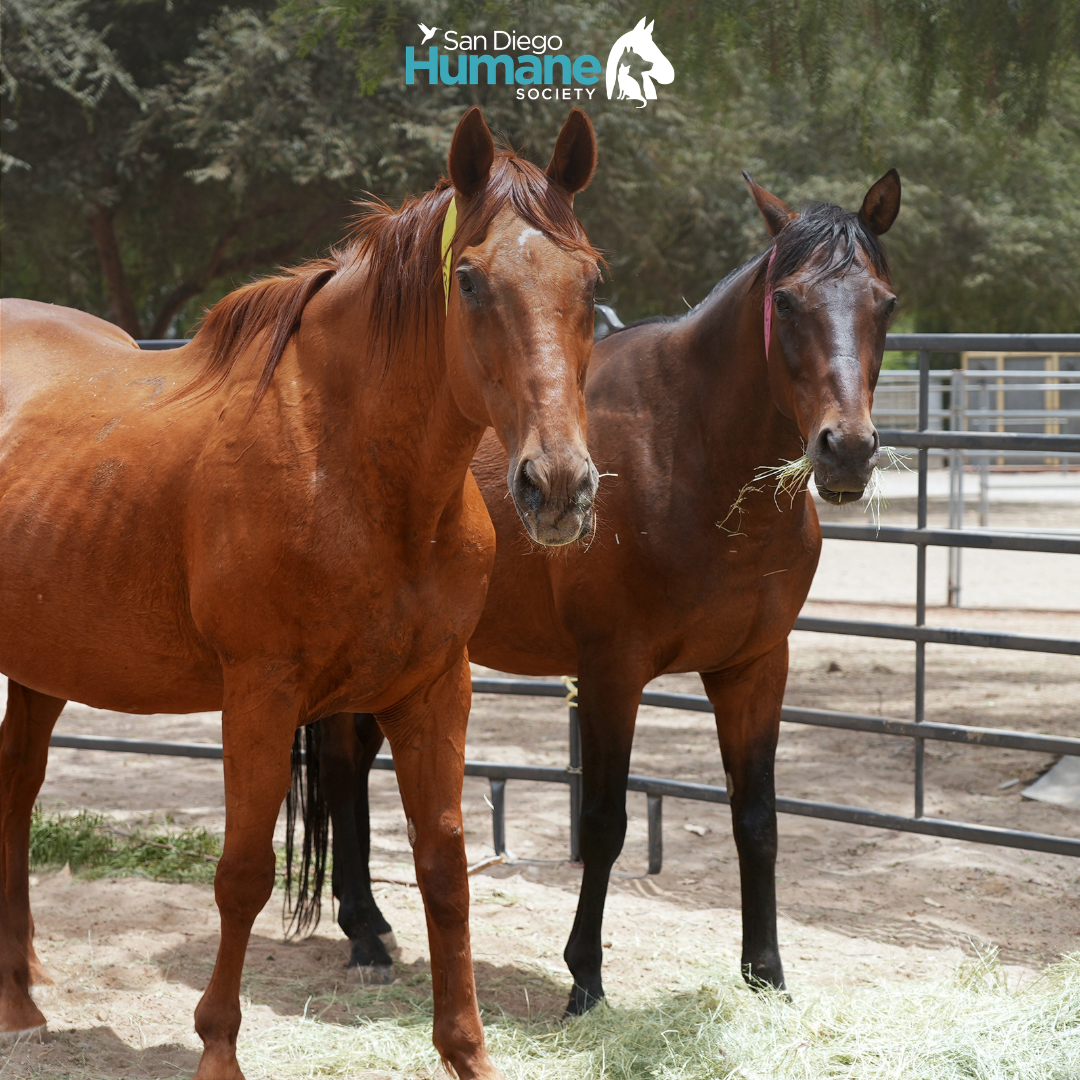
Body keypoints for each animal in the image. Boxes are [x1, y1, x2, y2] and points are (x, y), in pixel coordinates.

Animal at [0, 106, 602, 1080]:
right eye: (469, 279)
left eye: (590, 281)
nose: (556, 487)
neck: (353, 469)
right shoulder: (260, 692)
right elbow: (242, 873)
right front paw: (217, 1050)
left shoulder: (434, 692)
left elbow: (444, 871)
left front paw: (467, 1051)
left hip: (42, 663)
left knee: (15, 791)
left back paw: (18, 996)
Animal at [295, 168, 902, 1015]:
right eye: (786, 301)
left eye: (886, 303)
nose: (846, 450)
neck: (688, 452)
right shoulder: (613, 672)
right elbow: (605, 823)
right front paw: (584, 976)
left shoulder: (755, 669)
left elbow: (756, 818)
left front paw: (766, 970)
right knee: (344, 763)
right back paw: (362, 937)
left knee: (351, 767)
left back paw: (375, 925)